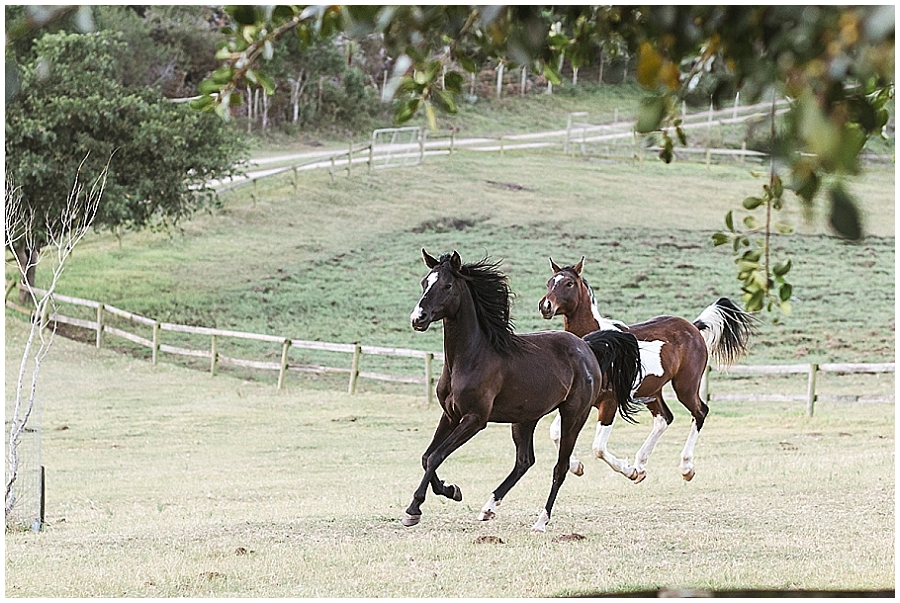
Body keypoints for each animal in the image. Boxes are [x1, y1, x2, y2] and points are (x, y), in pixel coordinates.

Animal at [404, 249, 642, 533]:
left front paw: (414, 509)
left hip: (574, 415)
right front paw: (452, 490)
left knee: (560, 467)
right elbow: (427, 456)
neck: (472, 356)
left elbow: (436, 456)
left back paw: (541, 521)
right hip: (525, 419)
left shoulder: (475, 419)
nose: (418, 318)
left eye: (448, 285)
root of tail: (586, 346)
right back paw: (488, 508)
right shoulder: (450, 415)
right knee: (524, 461)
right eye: (424, 282)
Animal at [539, 256, 755, 483]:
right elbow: (555, 432)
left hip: (685, 387)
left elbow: (598, 448)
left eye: (569, 283)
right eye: (549, 282)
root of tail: (693, 327)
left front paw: (627, 470)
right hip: (652, 391)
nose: (545, 306)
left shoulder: (609, 402)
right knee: (664, 419)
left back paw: (685, 468)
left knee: (700, 412)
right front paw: (577, 466)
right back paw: (641, 465)